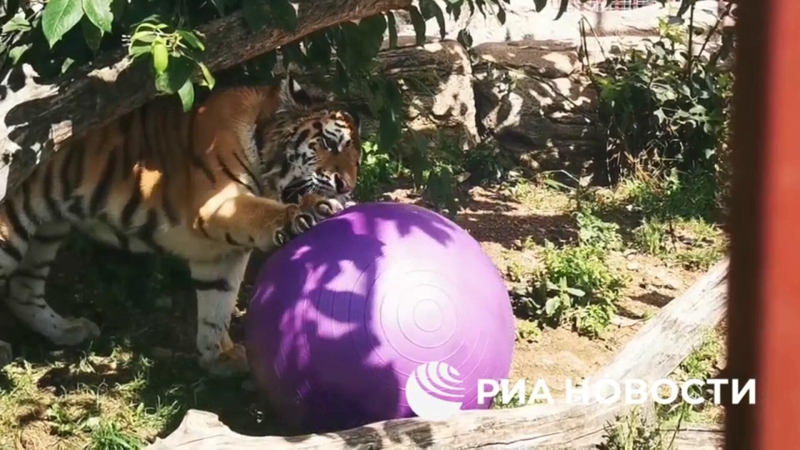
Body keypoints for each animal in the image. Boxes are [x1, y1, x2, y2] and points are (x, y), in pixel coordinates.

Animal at [0, 74, 360, 376]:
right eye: (330, 143)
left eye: (356, 157)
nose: (347, 185)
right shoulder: (218, 204)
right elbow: (265, 213)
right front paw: (310, 211)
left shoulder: (217, 252)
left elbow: (217, 303)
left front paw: (218, 358)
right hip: (11, 231)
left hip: (46, 230)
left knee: (23, 291)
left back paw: (68, 330)